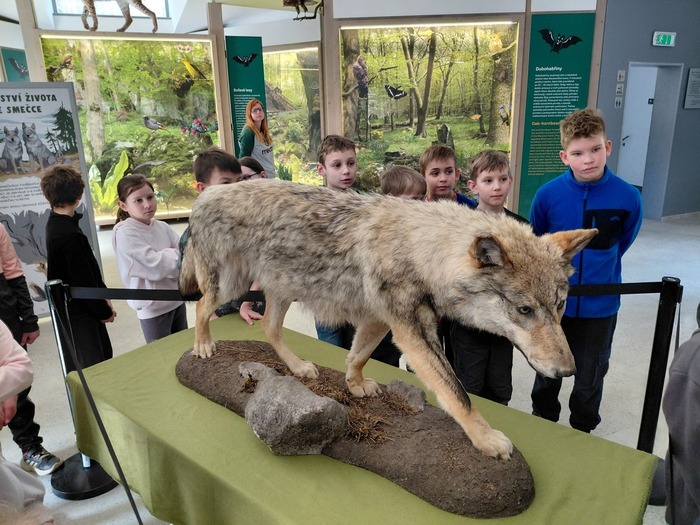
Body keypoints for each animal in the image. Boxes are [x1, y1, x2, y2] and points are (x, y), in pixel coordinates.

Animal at [180, 180, 597, 460]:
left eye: (560, 306)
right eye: (525, 310)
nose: (568, 371)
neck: (421, 250)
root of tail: (205, 195)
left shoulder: (380, 321)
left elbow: (358, 356)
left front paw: (355, 385)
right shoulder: (412, 332)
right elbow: (458, 395)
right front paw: (487, 439)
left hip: (281, 291)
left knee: (269, 327)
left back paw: (298, 368)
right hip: (230, 287)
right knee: (200, 307)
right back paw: (203, 346)